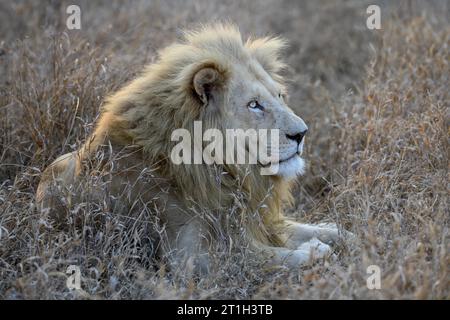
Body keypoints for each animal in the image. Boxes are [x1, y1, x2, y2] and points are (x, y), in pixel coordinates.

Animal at [37, 23, 350, 272]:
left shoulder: (249, 220)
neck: (223, 169)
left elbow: (299, 228)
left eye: (279, 95)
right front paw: (316, 250)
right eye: (254, 104)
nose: (302, 133)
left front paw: (340, 233)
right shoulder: (193, 257)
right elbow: (275, 257)